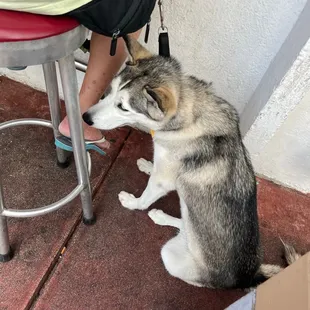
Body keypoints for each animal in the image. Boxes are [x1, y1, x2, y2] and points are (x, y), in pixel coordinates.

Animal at [83, 37, 300, 290]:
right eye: (109, 91)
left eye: (123, 107)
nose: (85, 117)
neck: (189, 115)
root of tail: (249, 275)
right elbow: (155, 166)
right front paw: (147, 165)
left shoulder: (162, 181)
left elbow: (145, 198)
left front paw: (132, 202)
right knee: (184, 225)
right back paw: (162, 217)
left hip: (169, 254)